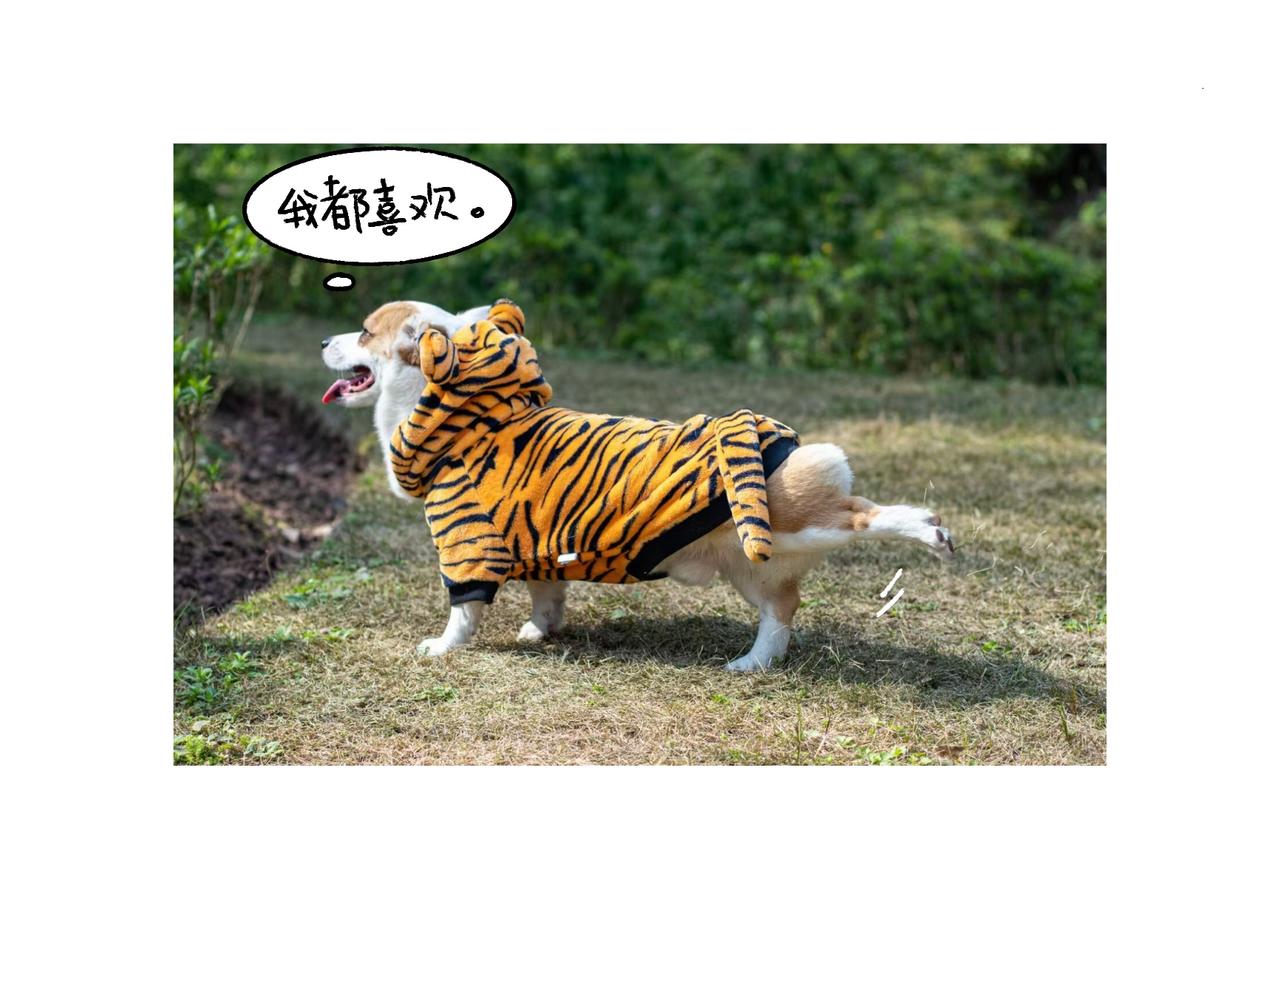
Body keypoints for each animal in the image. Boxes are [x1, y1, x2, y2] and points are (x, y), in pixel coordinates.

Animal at [321, 298, 955, 671]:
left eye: (364, 331)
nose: (322, 341)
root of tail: (774, 437)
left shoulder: (466, 542)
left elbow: (463, 610)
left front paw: (441, 647)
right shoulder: (535, 545)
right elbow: (546, 596)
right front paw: (538, 631)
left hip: (794, 523)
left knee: (860, 514)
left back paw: (929, 530)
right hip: (752, 562)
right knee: (782, 610)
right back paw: (752, 664)